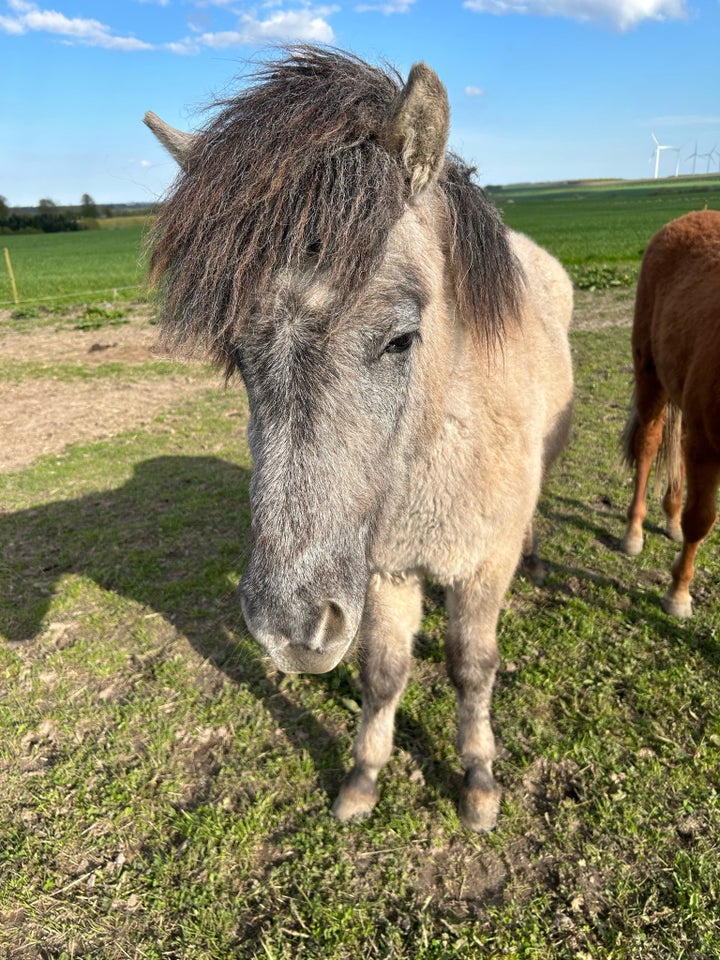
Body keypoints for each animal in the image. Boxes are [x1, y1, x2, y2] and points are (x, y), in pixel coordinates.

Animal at [145, 48, 572, 832]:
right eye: (236, 354)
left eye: (401, 338)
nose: (290, 629)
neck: (435, 445)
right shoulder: (382, 571)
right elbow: (383, 672)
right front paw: (364, 777)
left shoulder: (481, 566)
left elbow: (472, 666)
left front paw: (479, 779)